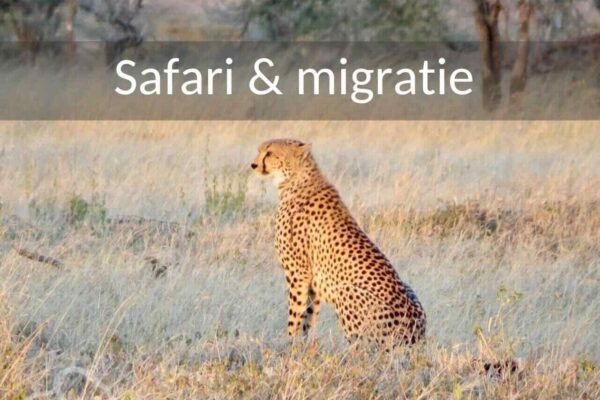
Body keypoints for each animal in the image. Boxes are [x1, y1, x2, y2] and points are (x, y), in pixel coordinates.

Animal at [251, 139, 424, 346]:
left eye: (270, 153)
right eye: (260, 151)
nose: (253, 165)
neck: (295, 181)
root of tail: (416, 337)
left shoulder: (298, 274)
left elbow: (295, 315)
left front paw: (289, 344)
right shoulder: (313, 281)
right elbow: (309, 317)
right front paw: (304, 346)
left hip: (347, 293)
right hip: (409, 289)